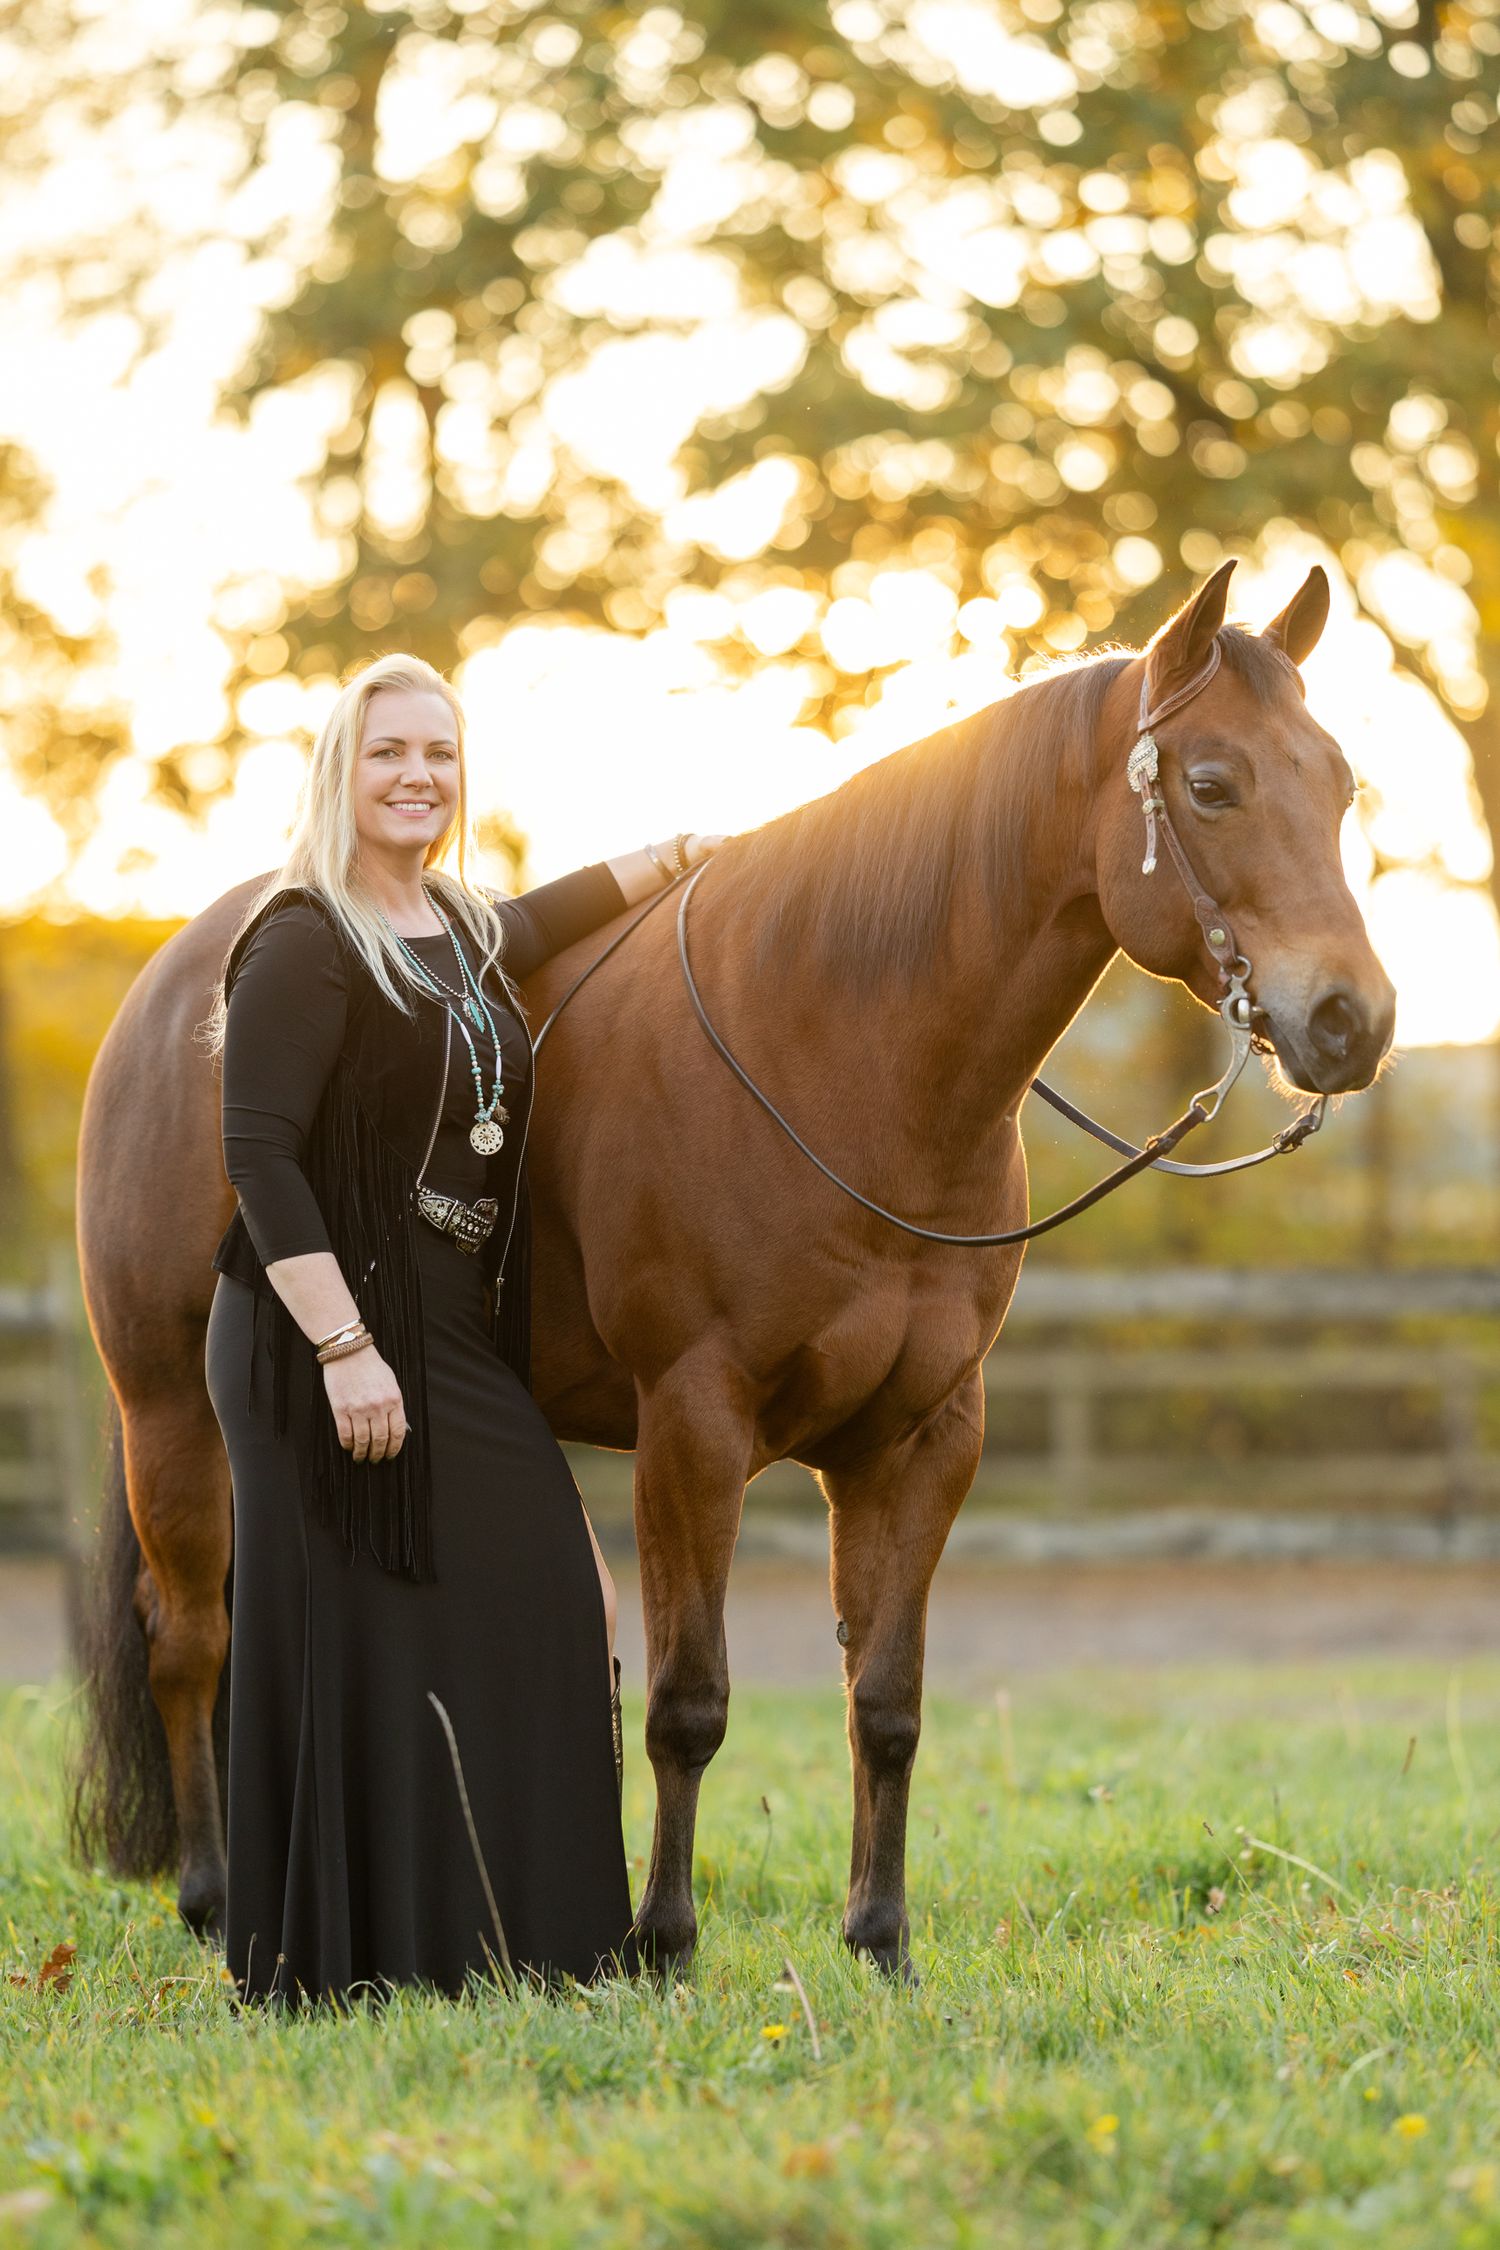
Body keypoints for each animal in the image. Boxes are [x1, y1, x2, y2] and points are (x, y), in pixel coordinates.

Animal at [73, 561, 1395, 1971]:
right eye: (1211, 783)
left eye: (1340, 782)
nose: (1352, 1020)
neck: (842, 1057)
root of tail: (177, 980)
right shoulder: (694, 1423)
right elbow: (687, 1702)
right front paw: (661, 1942)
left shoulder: (922, 1438)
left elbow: (885, 1700)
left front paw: (879, 1940)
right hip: (169, 1408)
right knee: (189, 1638)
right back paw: (214, 1901)